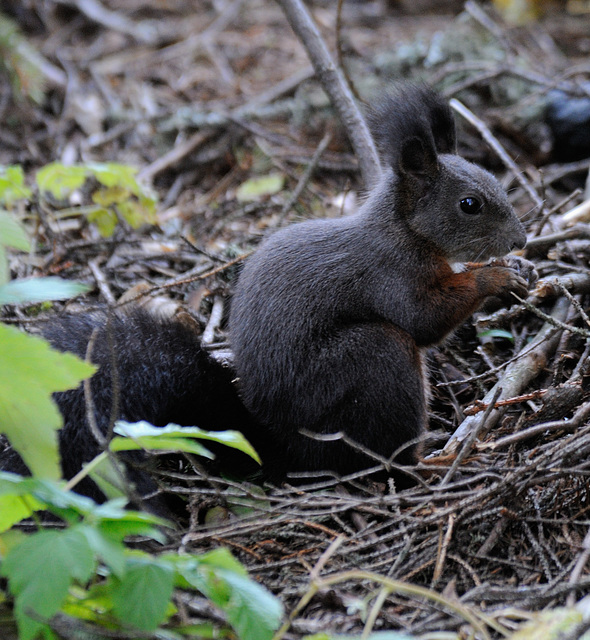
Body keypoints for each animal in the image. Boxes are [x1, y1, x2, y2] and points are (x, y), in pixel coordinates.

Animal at [0, 84, 540, 504]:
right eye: (470, 205)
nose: (520, 239)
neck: (405, 231)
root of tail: (281, 447)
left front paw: (515, 268)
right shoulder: (389, 273)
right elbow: (423, 319)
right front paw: (495, 278)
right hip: (371, 362)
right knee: (381, 453)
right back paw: (427, 465)